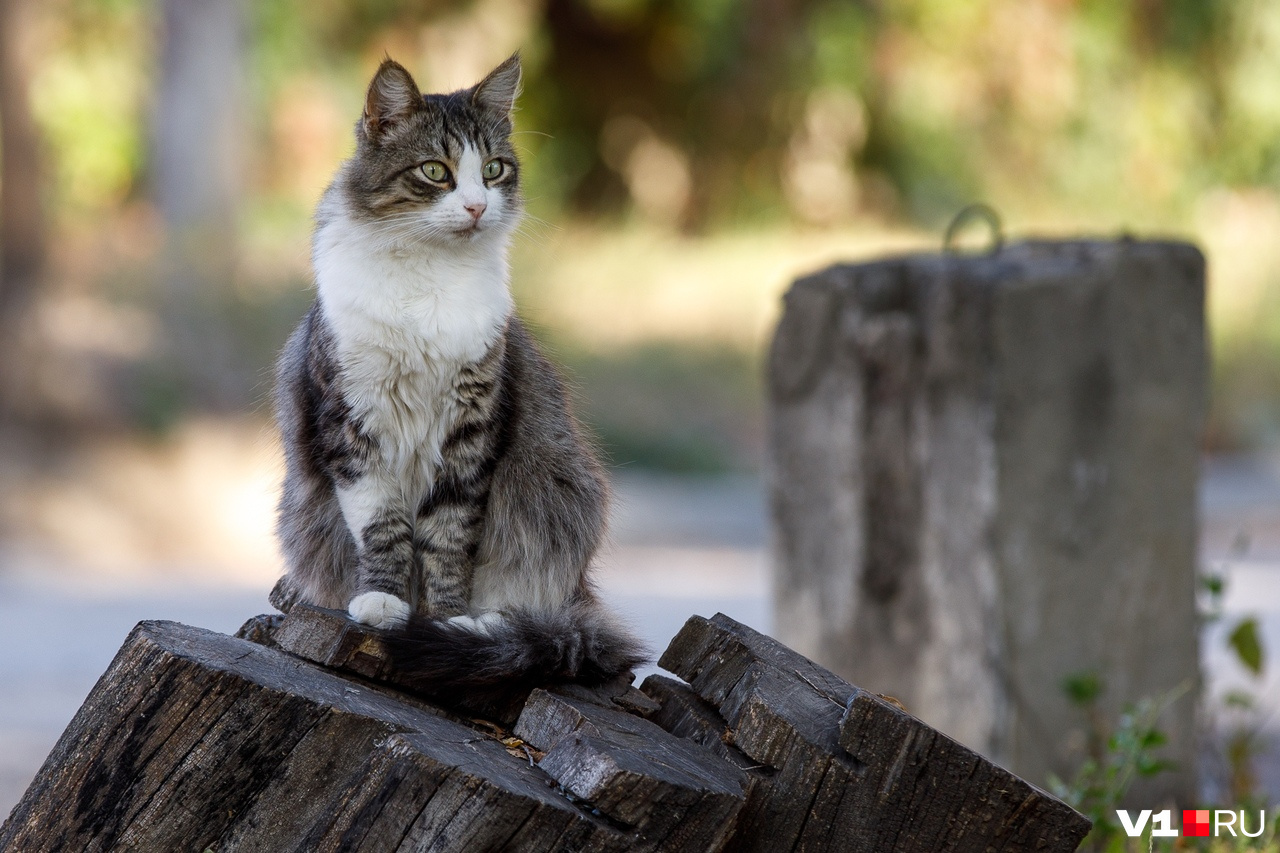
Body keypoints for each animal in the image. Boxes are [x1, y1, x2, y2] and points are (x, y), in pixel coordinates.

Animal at [271, 51, 650, 691]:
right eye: (435, 171)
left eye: (493, 170)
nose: (477, 207)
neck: (430, 275)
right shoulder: (353, 424)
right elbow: (385, 530)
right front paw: (384, 602)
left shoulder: (472, 428)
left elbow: (448, 539)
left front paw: (447, 620)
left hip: (559, 502)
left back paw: (496, 626)